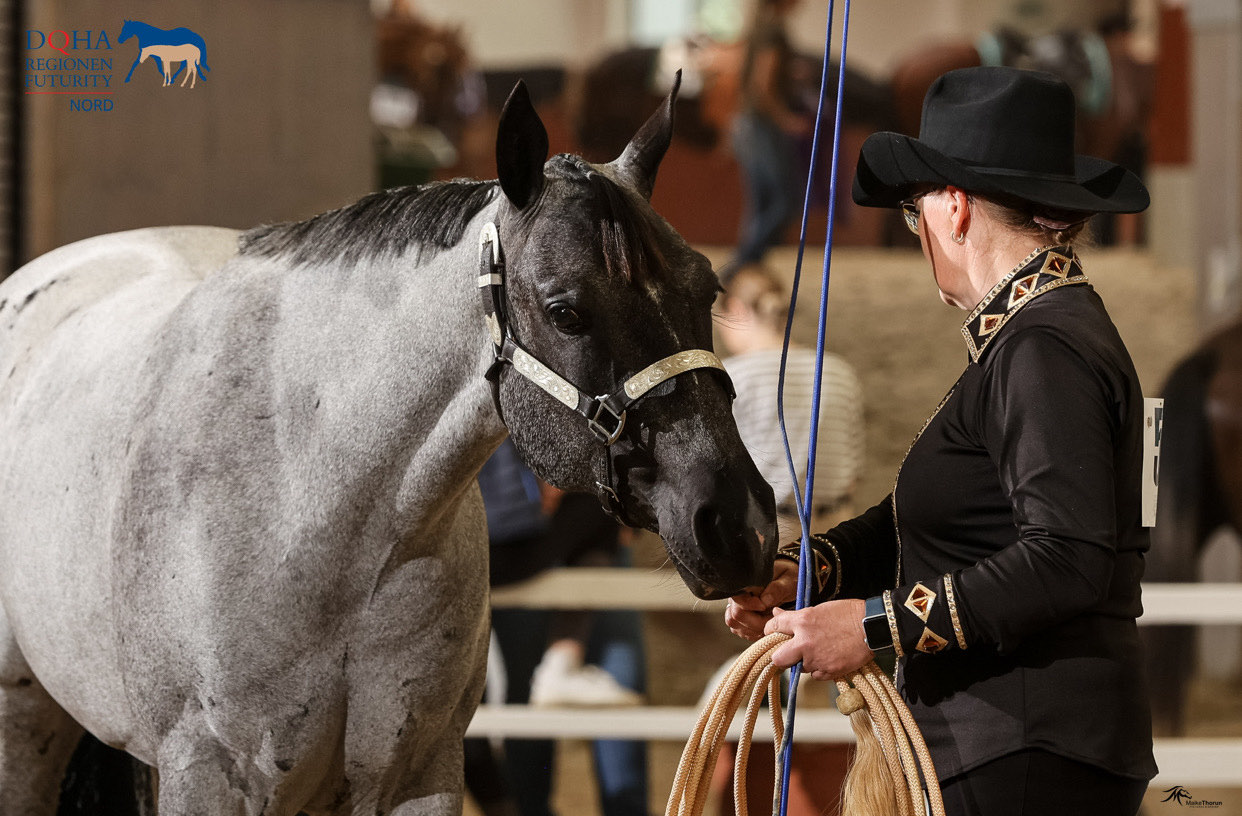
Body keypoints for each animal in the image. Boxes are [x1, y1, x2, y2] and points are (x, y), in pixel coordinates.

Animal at [0, 76, 777, 815]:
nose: (737, 523)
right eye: (566, 312)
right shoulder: (211, 778)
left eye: (706, 291)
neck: (316, 501)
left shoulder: (420, 773)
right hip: (23, 725)